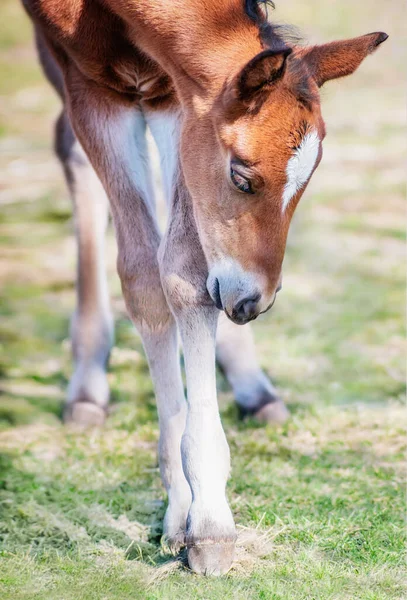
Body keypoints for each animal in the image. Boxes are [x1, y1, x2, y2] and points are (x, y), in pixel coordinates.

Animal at [23, 0, 388, 576]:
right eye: (241, 177)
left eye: (308, 180)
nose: (255, 301)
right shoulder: (90, 81)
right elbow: (146, 280)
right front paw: (187, 513)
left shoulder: (176, 94)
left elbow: (187, 275)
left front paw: (206, 516)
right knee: (75, 155)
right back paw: (87, 381)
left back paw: (251, 382)